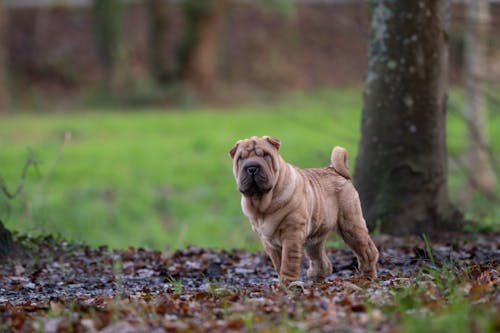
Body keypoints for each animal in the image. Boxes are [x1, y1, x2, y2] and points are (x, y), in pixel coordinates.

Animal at [230, 136, 378, 284]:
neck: (263, 203)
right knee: (320, 260)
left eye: (265, 155)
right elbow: (278, 263)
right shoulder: (269, 242)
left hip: (350, 225)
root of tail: (334, 170)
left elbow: (288, 262)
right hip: (315, 238)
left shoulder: (291, 233)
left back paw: (368, 277)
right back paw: (317, 278)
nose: (252, 168)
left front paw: (288, 283)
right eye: (241, 158)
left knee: (367, 251)